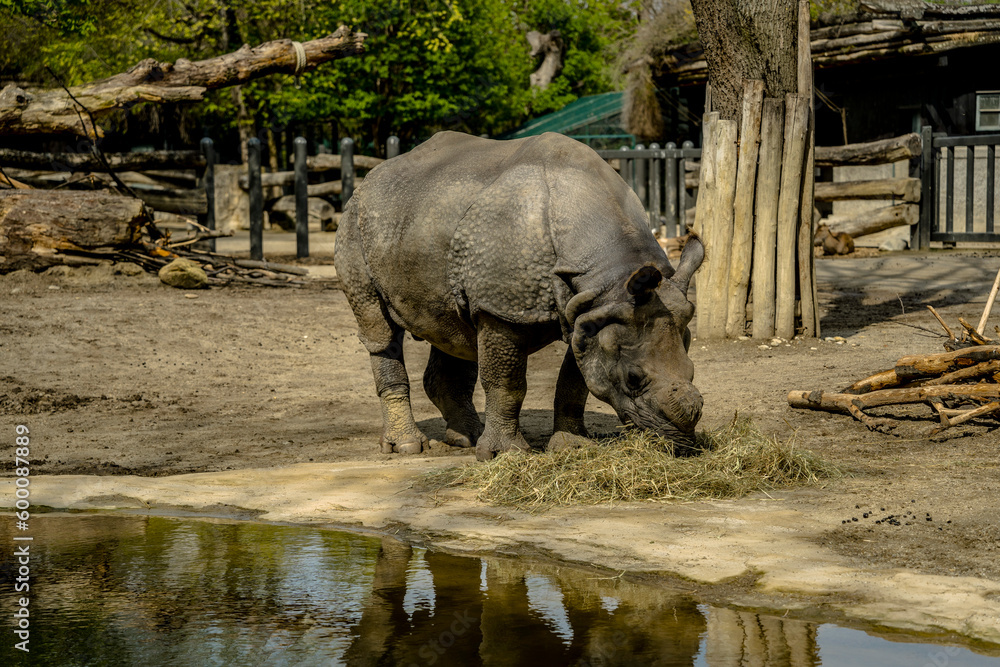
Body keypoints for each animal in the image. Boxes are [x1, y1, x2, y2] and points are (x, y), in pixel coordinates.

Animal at [334, 131, 705, 461]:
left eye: (692, 370)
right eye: (633, 378)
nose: (680, 444)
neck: (608, 272)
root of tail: (370, 178)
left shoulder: (590, 310)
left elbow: (575, 381)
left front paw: (573, 448)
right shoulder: (504, 309)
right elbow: (508, 383)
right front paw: (505, 455)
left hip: (424, 221)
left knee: (456, 329)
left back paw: (466, 439)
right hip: (355, 221)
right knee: (380, 330)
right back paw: (408, 447)